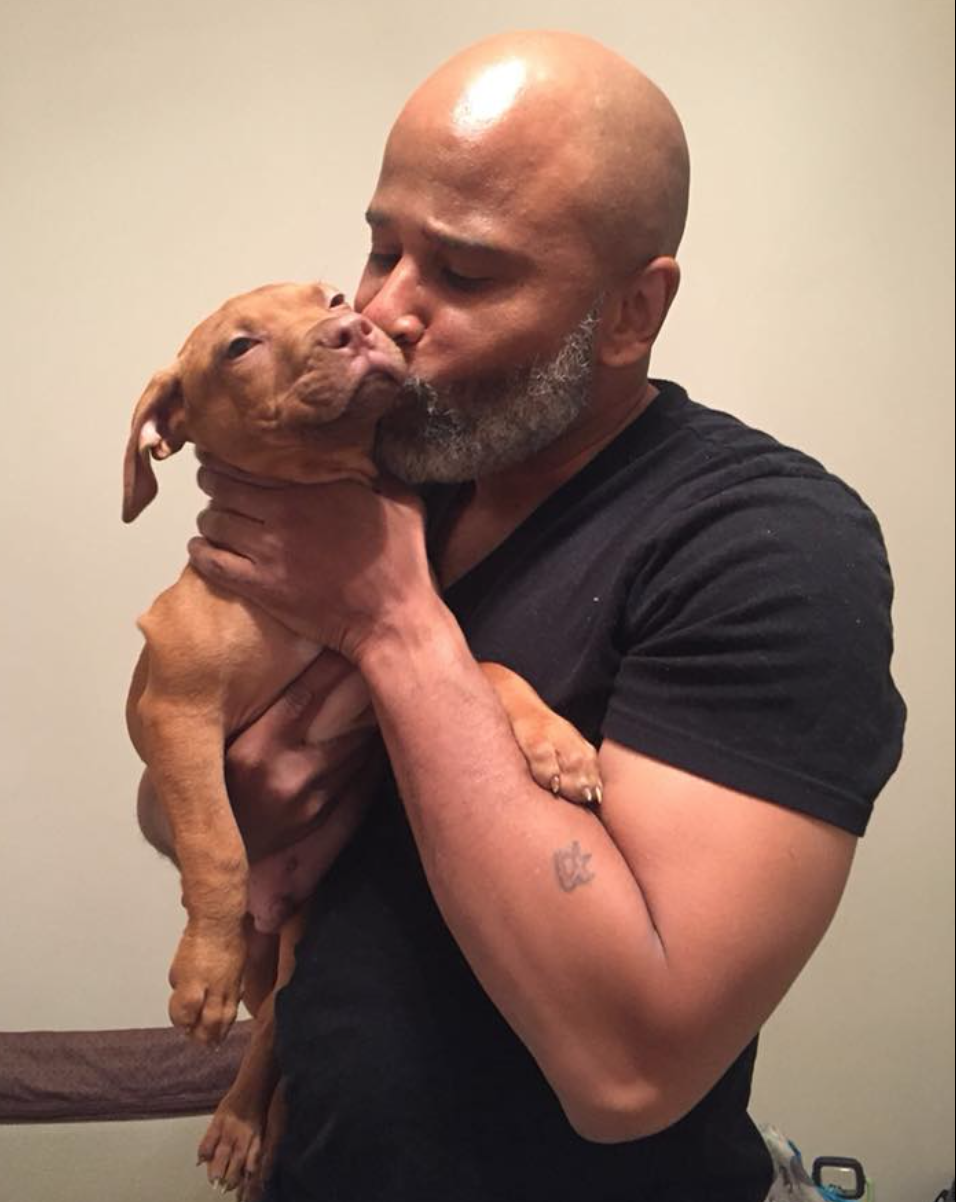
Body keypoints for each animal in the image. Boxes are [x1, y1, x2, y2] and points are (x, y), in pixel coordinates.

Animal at [123, 281, 602, 1193]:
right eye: (239, 347)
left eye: (332, 296)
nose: (357, 328)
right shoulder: (177, 707)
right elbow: (215, 843)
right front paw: (201, 969)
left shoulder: (401, 657)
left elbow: (492, 668)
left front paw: (557, 744)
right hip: (267, 938)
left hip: (298, 940)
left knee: (279, 1027)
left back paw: (244, 1125)